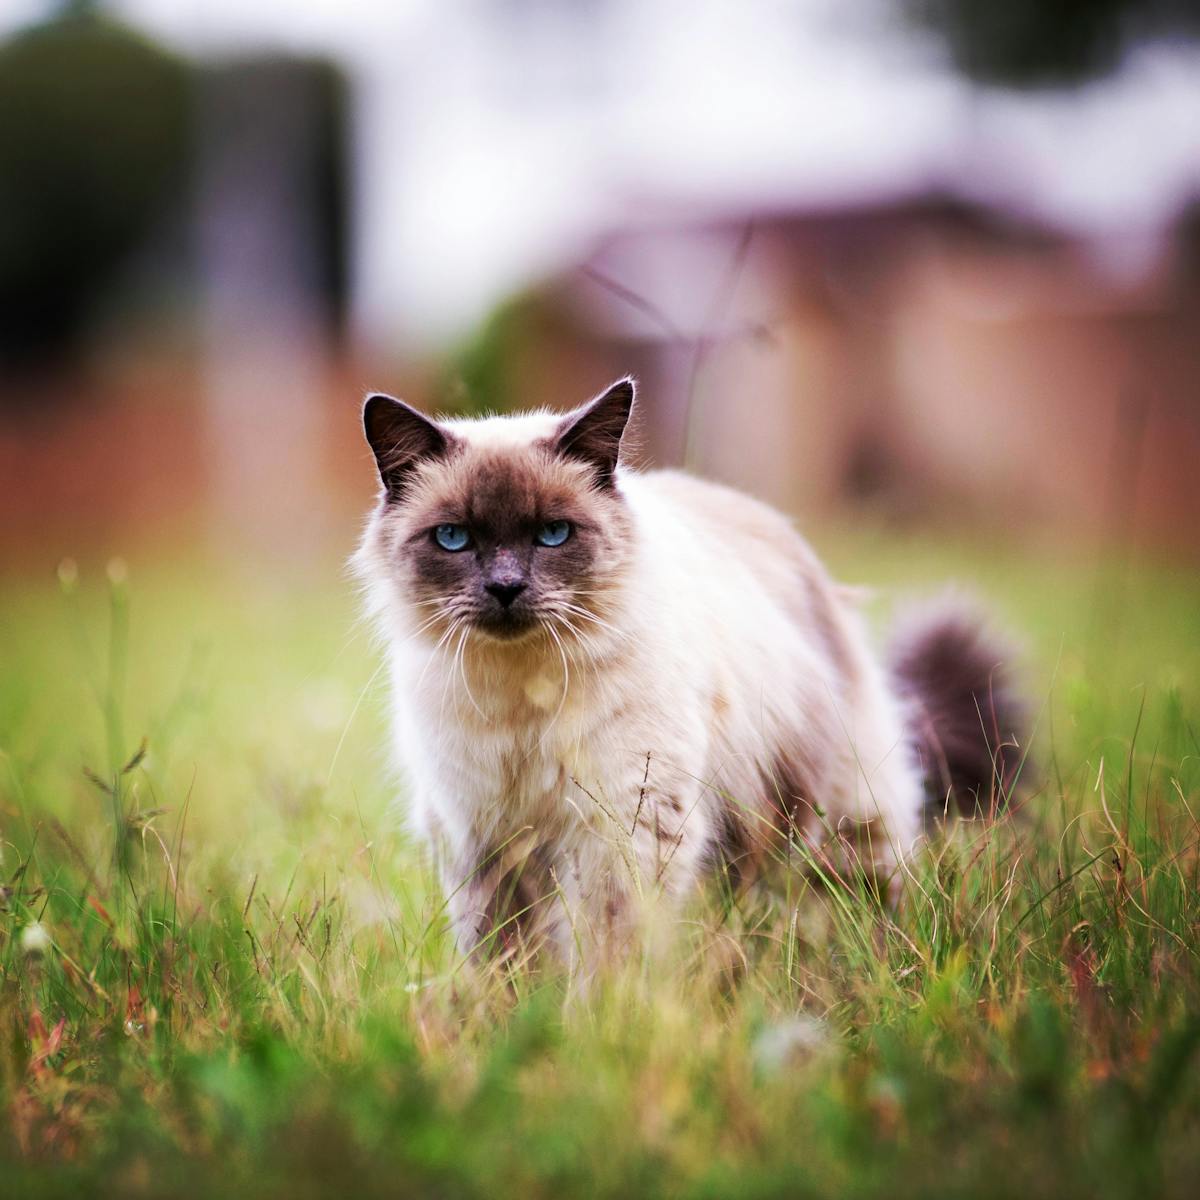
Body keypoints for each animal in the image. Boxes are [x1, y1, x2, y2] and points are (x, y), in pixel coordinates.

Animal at [350, 379, 1027, 969]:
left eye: (553, 534)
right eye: (454, 538)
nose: (506, 588)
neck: (525, 692)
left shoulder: (626, 826)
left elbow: (605, 956)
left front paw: (592, 1027)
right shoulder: (484, 838)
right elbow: (500, 962)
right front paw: (510, 1026)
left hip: (835, 820)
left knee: (852, 903)